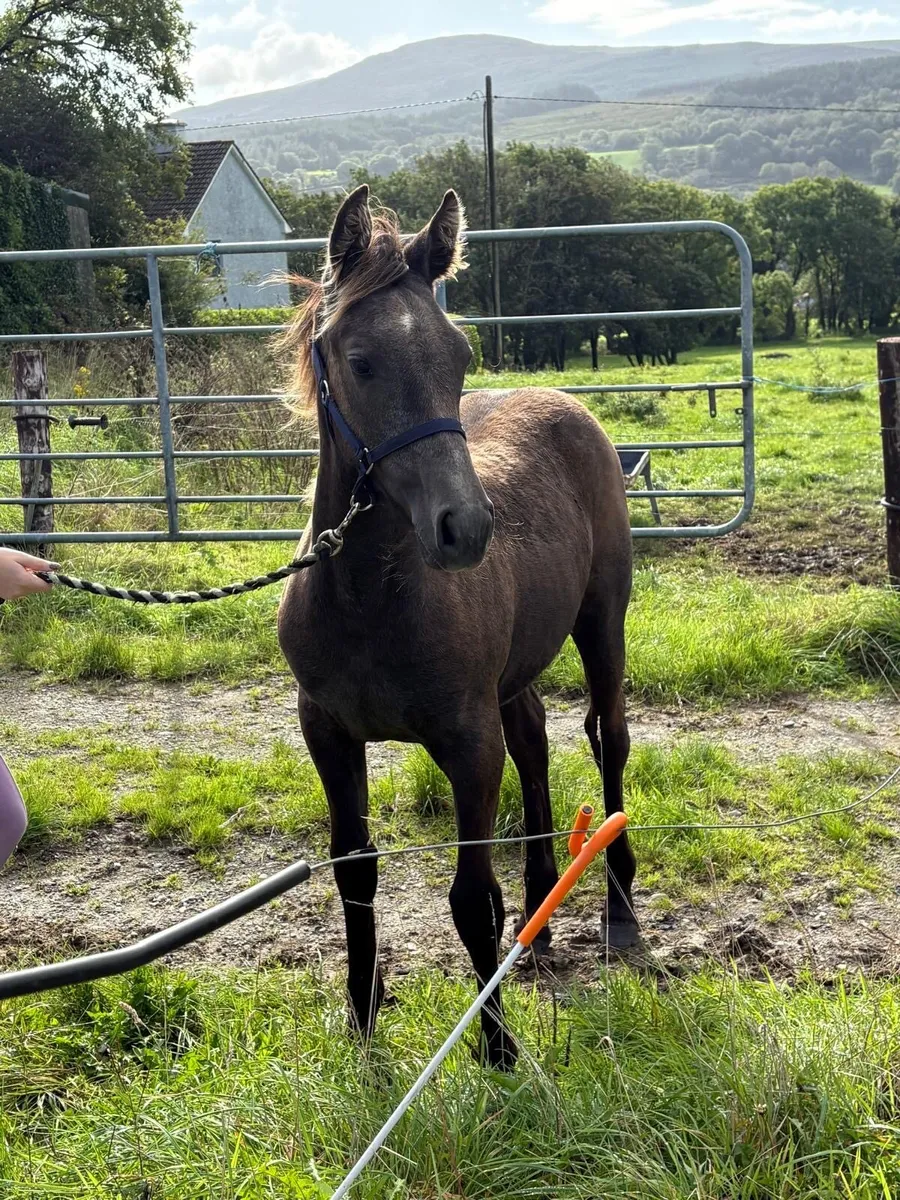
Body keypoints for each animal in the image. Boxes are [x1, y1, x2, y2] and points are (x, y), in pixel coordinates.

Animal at [277, 185, 635, 1069]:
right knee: (537, 742)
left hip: (602, 623)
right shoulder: (327, 733)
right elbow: (355, 872)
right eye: (360, 360)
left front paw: (498, 1048)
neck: (369, 598)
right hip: (517, 670)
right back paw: (539, 918)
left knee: (607, 738)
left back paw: (619, 910)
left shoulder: (469, 743)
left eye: (459, 355)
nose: (464, 529)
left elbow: (472, 896)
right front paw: (363, 1018)